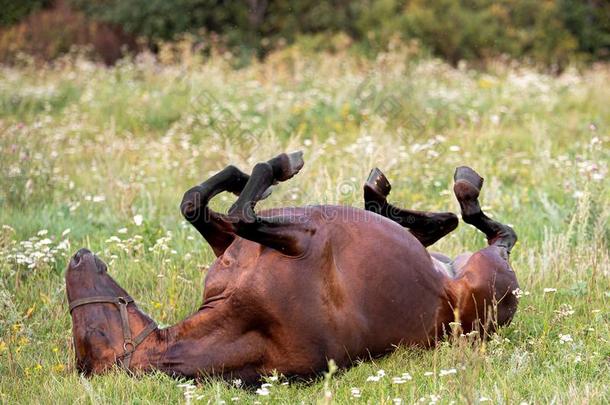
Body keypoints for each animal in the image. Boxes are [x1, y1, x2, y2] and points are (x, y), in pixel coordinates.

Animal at [65, 152, 516, 382]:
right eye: (95, 333)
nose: (77, 257)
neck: (249, 323)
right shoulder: (298, 238)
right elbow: (241, 211)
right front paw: (280, 164)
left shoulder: (236, 243)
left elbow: (196, 203)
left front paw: (243, 175)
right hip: (488, 275)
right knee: (492, 230)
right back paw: (458, 189)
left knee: (439, 224)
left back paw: (381, 194)